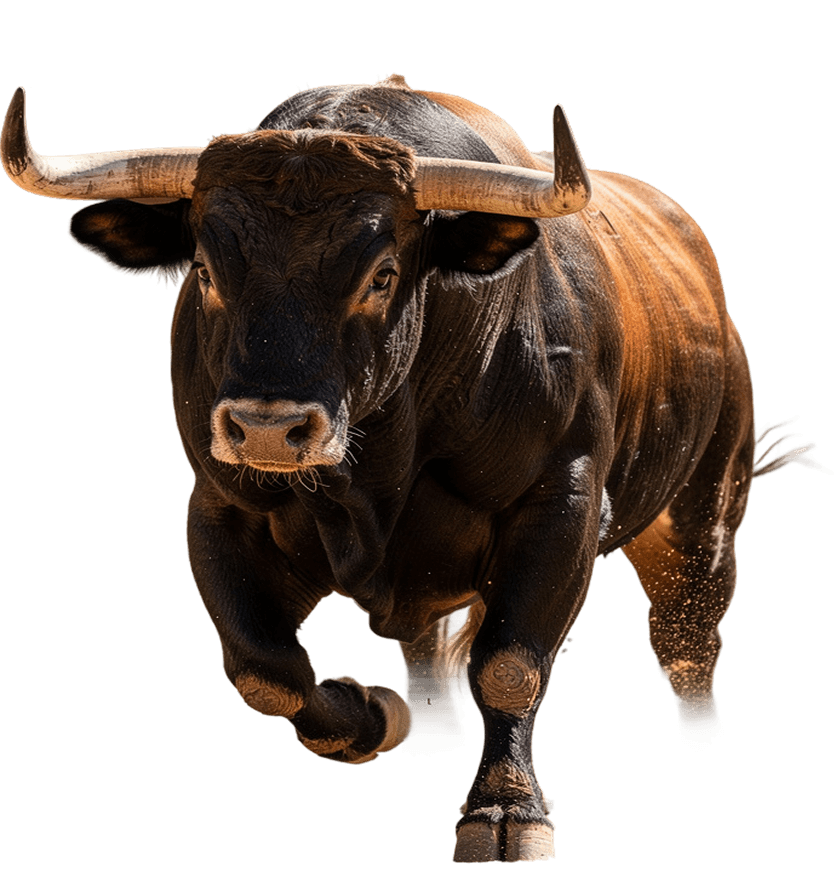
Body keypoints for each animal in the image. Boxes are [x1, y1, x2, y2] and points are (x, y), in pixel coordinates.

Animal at [2, 74, 830, 863]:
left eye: (381, 273)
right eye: (204, 269)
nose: (268, 427)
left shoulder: (561, 499)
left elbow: (509, 664)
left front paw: (507, 810)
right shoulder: (219, 506)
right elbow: (266, 670)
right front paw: (367, 716)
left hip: (703, 513)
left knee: (688, 645)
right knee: (428, 660)